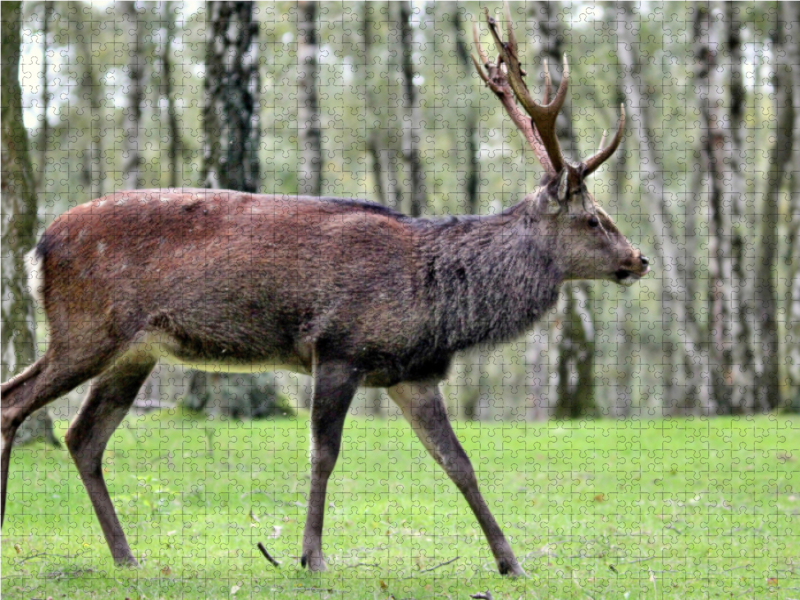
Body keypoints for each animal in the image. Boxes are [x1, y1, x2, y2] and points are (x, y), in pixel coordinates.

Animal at [1, 5, 648, 576]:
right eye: (594, 219)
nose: (638, 259)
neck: (436, 303)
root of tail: (39, 248)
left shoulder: (412, 373)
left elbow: (458, 462)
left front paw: (511, 562)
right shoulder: (338, 346)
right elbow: (323, 455)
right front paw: (310, 557)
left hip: (134, 351)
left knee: (82, 437)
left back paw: (126, 557)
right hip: (87, 327)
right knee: (15, 400)